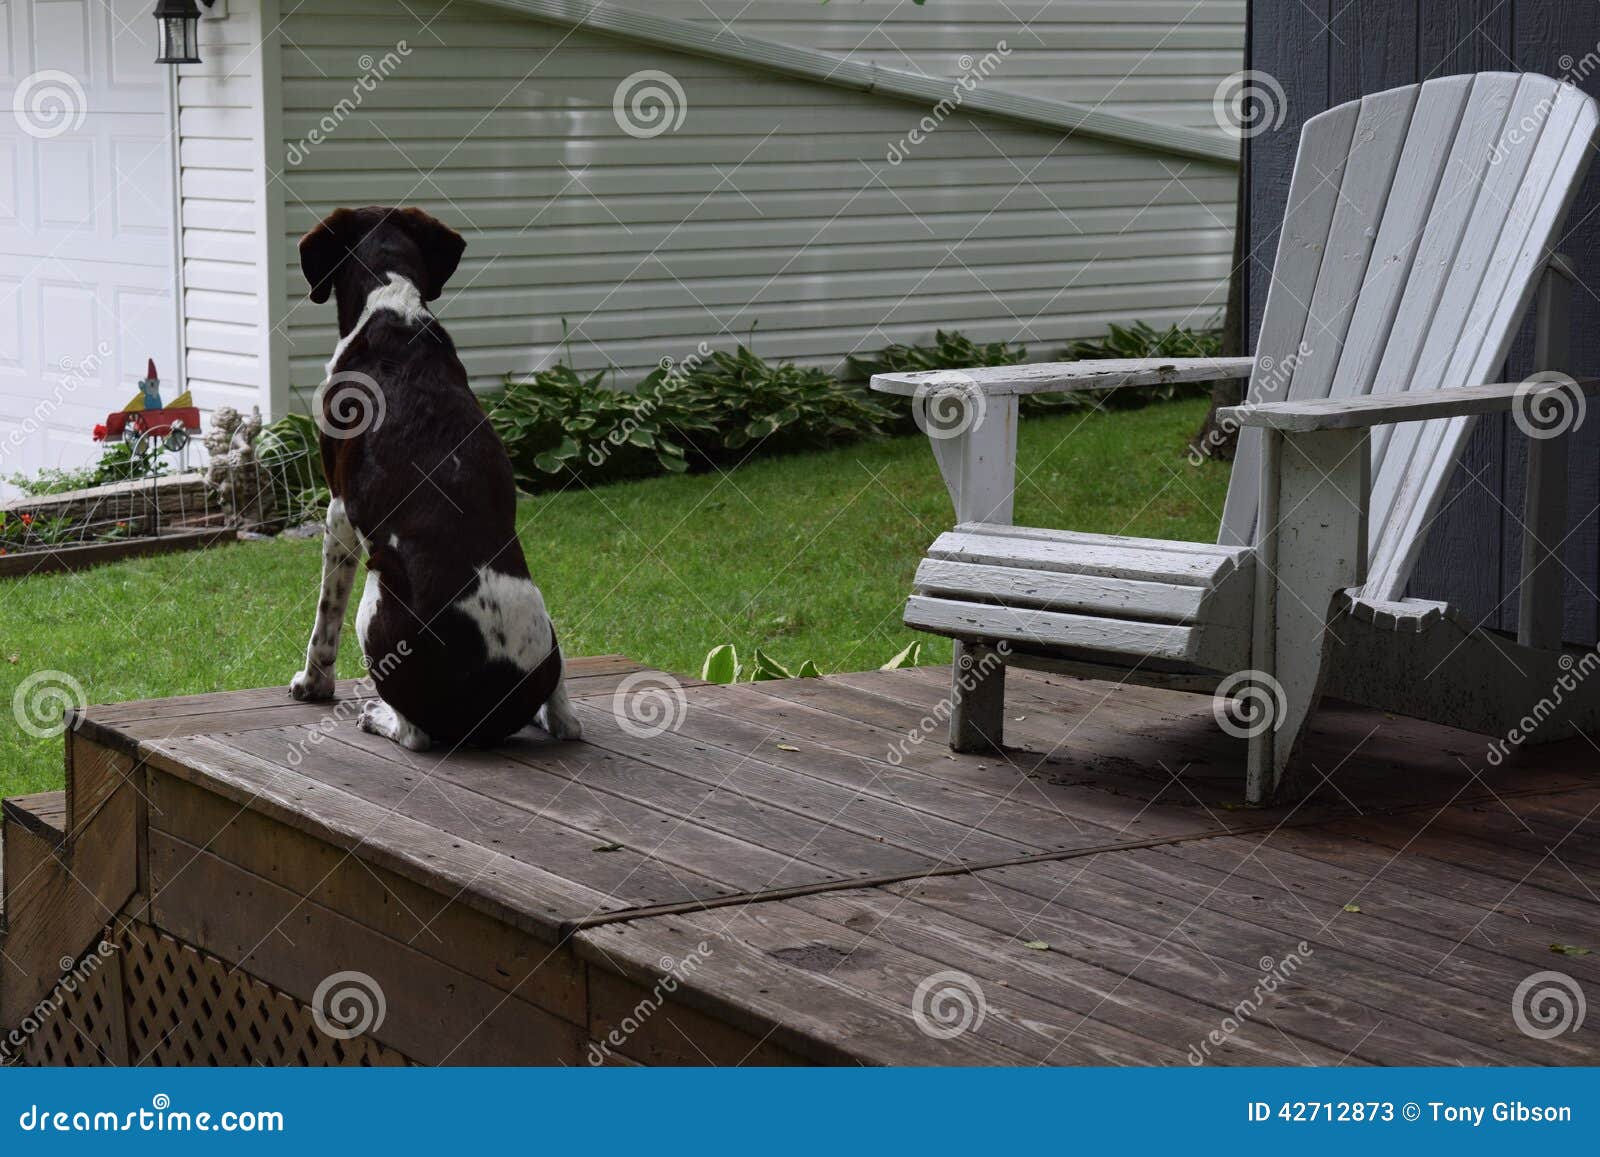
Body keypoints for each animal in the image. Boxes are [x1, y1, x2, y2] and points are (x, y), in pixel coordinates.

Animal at [291, 206, 585, 752]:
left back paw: (376, 717)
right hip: (547, 626)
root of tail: (495, 692)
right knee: (567, 721)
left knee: (416, 735)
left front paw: (312, 683)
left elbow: (325, 616)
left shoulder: (338, 510)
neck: (393, 307)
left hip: (376, 597)